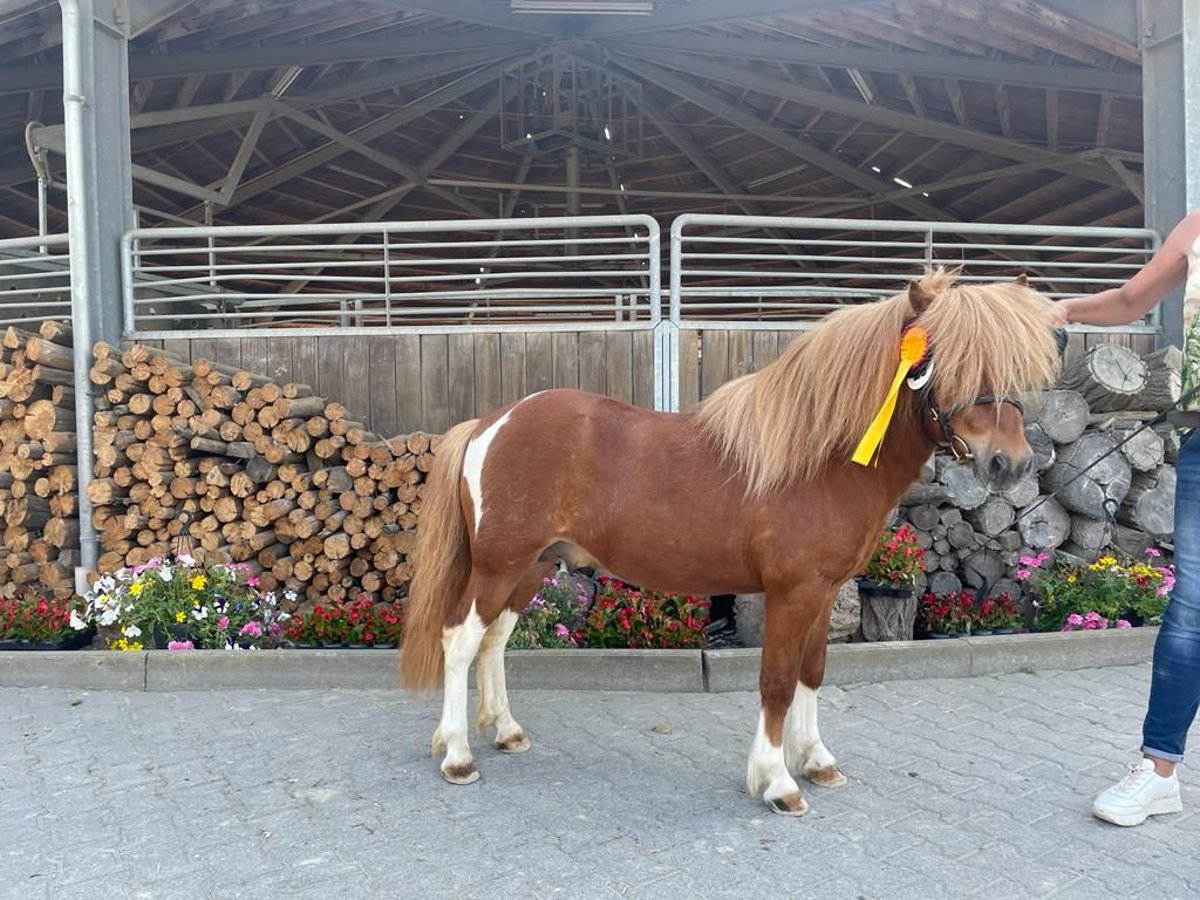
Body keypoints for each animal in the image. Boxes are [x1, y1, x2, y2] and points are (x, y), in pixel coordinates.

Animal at [400, 270, 1060, 816]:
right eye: (946, 362)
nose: (1010, 464)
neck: (820, 460)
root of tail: (492, 423)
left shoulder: (824, 592)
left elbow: (811, 672)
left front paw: (816, 761)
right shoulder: (791, 592)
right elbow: (776, 680)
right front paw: (777, 783)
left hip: (532, 568)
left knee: (494, 642)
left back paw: (505, 731)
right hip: (498, 565)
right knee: (461, 640)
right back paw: (457, 755)